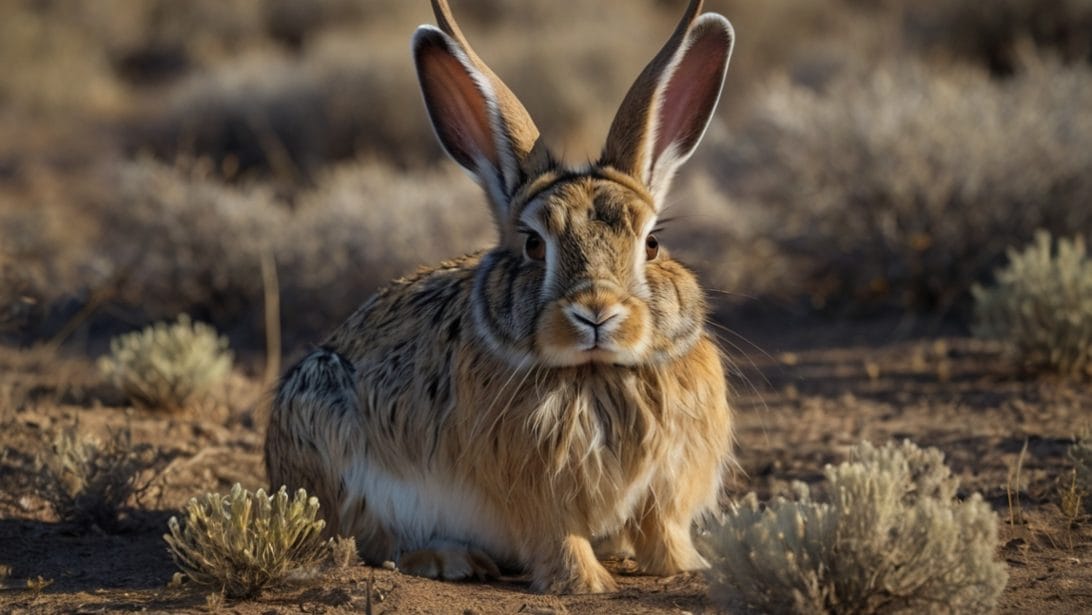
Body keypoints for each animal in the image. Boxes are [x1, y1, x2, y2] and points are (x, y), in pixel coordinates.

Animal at [265, 0, 735, 594]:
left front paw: (689, 566)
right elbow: (559, 539)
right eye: (533, 245)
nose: (597, 312)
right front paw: (586, 584)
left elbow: (663, 532)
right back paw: (450, 558)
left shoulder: (665, 490)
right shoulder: (539, 494)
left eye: (651, 243)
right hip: (326, 424)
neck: (597, 373)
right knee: (365, 541)